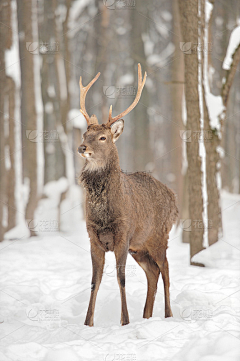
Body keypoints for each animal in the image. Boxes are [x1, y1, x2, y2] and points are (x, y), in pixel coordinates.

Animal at [78, 64, 179, 326]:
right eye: (84, 135)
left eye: (103, 137)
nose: (82, 148)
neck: (104, 213)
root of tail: (174, 198)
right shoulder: (93, 236)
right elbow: (94, 280)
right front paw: (87, 323)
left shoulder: (123, 233)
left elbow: (121, 277)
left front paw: (124, 320)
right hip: (140, 246)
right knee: (153, 272)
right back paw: (146, 315)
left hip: (159, 235)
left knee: (166, 269)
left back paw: (168, 314)